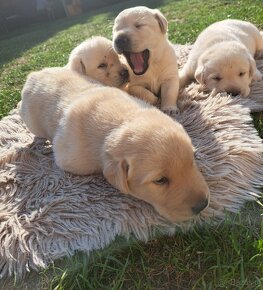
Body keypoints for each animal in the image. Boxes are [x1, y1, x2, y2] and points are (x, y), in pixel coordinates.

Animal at [20, 68, 210, 222]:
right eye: (160, 180)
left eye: (191, 162)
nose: (203, 204)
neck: (120, 121)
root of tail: (33, 74)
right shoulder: (68, 157)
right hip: (30, 120)